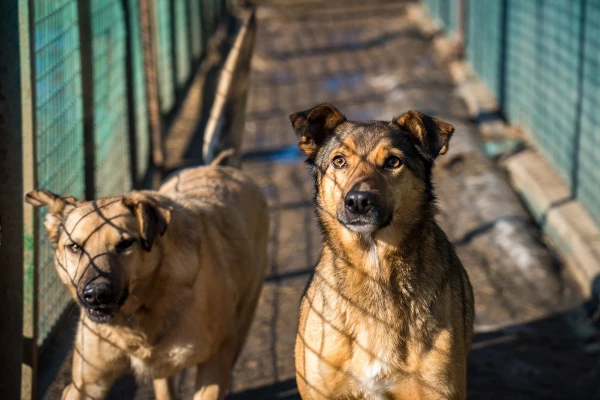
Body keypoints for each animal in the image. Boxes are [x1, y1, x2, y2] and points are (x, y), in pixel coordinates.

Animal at [24, 154, 268, 400]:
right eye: (74, 246)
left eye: (125, 244)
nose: (96, 295)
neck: (137, 318)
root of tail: (218, 167)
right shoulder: (85, 385)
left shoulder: (215, 362)